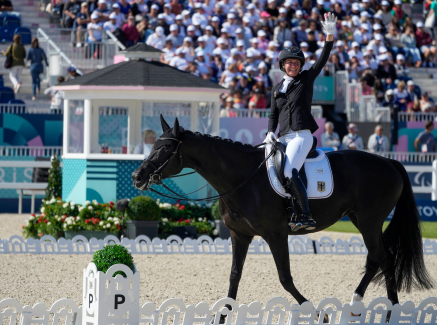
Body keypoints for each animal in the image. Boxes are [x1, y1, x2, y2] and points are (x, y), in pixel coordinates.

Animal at [132, 116, 432, 312]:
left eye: (165, 148)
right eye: (152, 145)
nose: (137, 176)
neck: (243, 178)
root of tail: (390, 162)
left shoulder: (276, 235)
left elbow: (285, 278)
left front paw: (316, 313)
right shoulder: (239, 235)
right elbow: (234, 276)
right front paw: (223, 316)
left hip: (370, 221)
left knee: (381, 258)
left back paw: (381, 306)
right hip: (362, 220)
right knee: (380, 259)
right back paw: (370, 304)